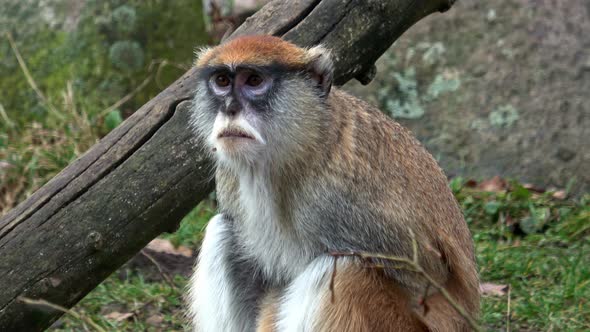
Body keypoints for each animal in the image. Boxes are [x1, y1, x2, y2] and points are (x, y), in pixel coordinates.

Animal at [190, 35, 480, 330]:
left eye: (254, 81)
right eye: (222, 81)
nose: (230, 108)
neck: (305, 141)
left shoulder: (341, 201)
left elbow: (426, 277)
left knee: (341, 267)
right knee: (223, 230)